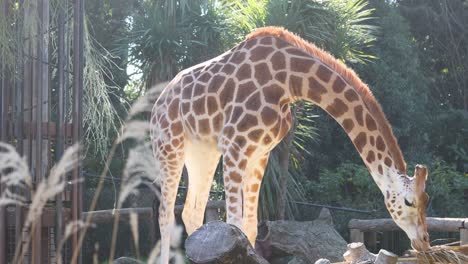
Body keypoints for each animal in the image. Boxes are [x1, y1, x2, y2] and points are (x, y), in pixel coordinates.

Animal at [151, 26, 432, 262]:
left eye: (427, 200)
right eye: (409, 202)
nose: (424, 242)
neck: (290, 81)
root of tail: (158, 103)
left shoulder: (260, 152)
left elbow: (250, 227)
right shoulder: (235, 145)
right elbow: (234, 223)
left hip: (203, 153)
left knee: (192, 212)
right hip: (169, 146)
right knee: (165, 216)